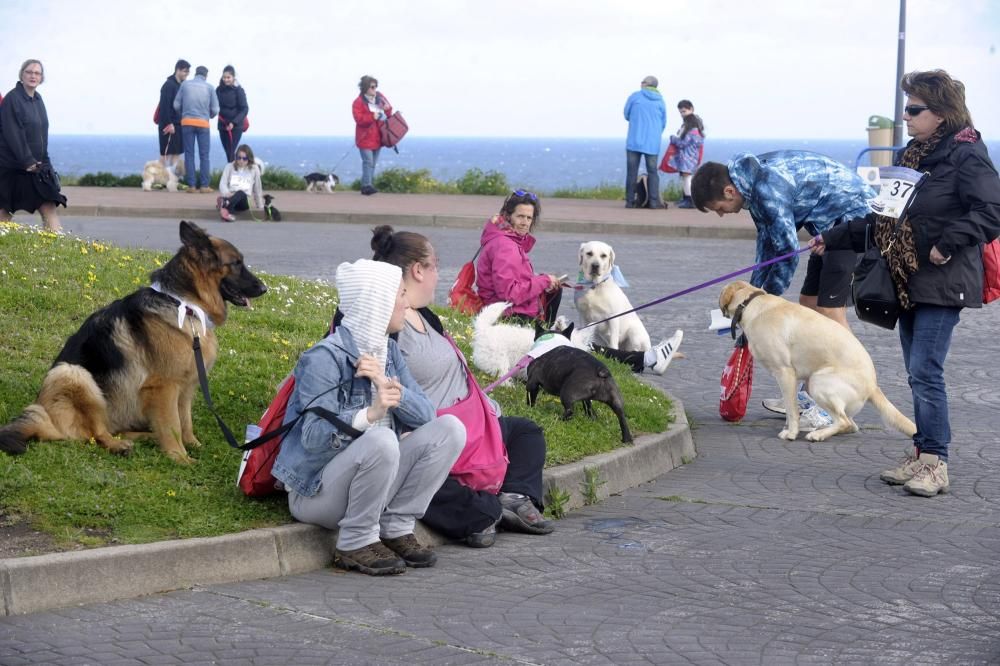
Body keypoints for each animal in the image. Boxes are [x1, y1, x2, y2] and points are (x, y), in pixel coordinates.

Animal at [0, 222, 266, 462]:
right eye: (237, 263)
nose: (264, 288)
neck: (184, 303)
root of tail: (47, 418)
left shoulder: (187, 385)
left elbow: (185, 420)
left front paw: (193, 444)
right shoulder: (164, 387)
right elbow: (173, 425)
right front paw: (180, 457)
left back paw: (146, 437)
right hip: (72, 374)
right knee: (96, 433)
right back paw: (118, 446)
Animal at [720, 278, 916, 440]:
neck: (751, 304)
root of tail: (873, 386)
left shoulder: (785, 373)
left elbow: (791, 409)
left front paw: (791, 433)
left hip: (818, 381)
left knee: (844, 421)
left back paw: (818, 435)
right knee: (851, 425)